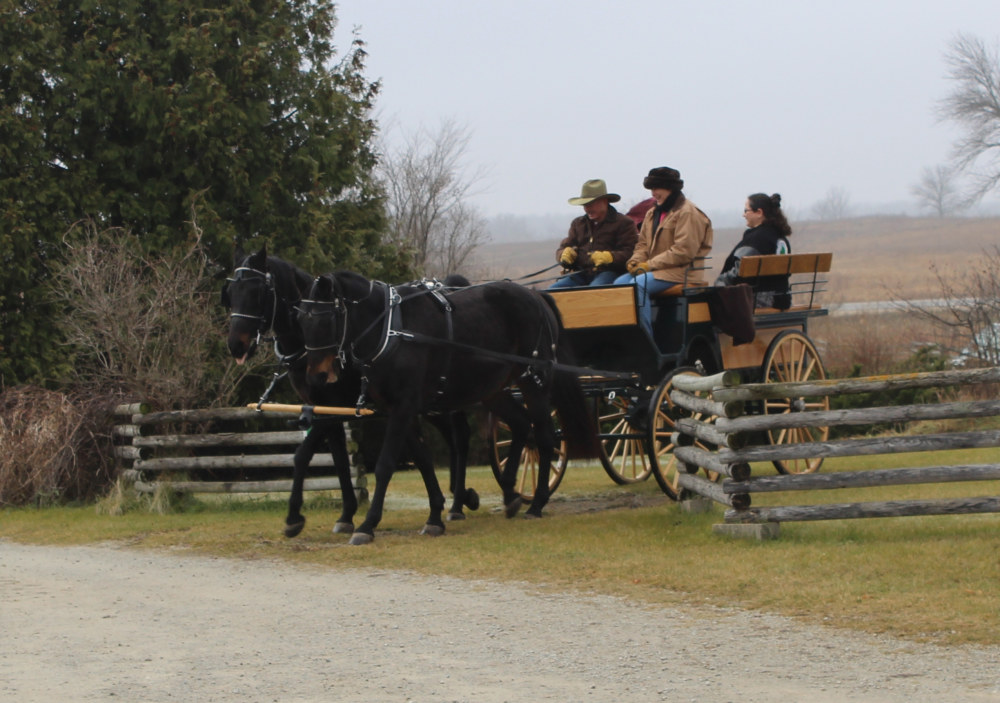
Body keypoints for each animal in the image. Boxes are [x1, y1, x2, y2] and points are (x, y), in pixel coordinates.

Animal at [224, 248, 480, 540]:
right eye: (230, 292)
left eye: (256, 291)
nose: (235, 345)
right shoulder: (326, 410)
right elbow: (337, 461)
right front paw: (345, 515)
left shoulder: (344, 407)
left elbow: (304, 454)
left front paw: (295, 516)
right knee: (450, 439)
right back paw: (458, 499)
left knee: (460, 438)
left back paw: (461, 501)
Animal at [298, 270, 600, 544]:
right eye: (302, 318)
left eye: (325, 319)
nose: (316, 377)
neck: (391, 330)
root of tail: (536, 296)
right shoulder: (397, 410)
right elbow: (422, 459)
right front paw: (435, 517)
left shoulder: (403, 407)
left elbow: (385, 465)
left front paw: (367, 525)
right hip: (493, 390)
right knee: (522, 426)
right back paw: (510, 494)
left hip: (534, 381)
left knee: (545, 437)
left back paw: (536, 504)